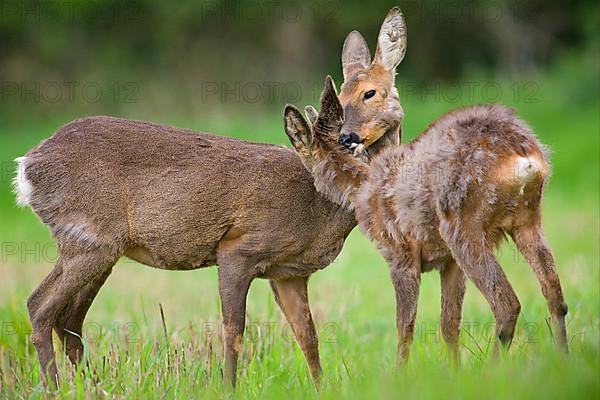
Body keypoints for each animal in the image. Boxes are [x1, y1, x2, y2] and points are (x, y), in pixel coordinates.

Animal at [12, 114, 380, 386]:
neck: (315, 212)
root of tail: (27, 165)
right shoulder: (238, 248)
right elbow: (234, 329)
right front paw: (229, 388)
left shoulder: (289, 274)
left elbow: (308, 337)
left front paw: (322, 388)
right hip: (90, 238)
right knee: (39, 305)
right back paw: (56, 388)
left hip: (102, 249)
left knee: (69, 318)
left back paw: (93, 384)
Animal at [284, 75, 568, 366]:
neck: (361, 188)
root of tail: (524, 158)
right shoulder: (449, 262)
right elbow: (449, 325)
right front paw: (455, 371)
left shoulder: (400, 251)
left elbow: (405, 327)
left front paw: (400, 371)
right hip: (528, 220)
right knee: (555, 295)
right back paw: (563, 360)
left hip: (462, 225)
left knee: (508, 304)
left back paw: (494, 369)